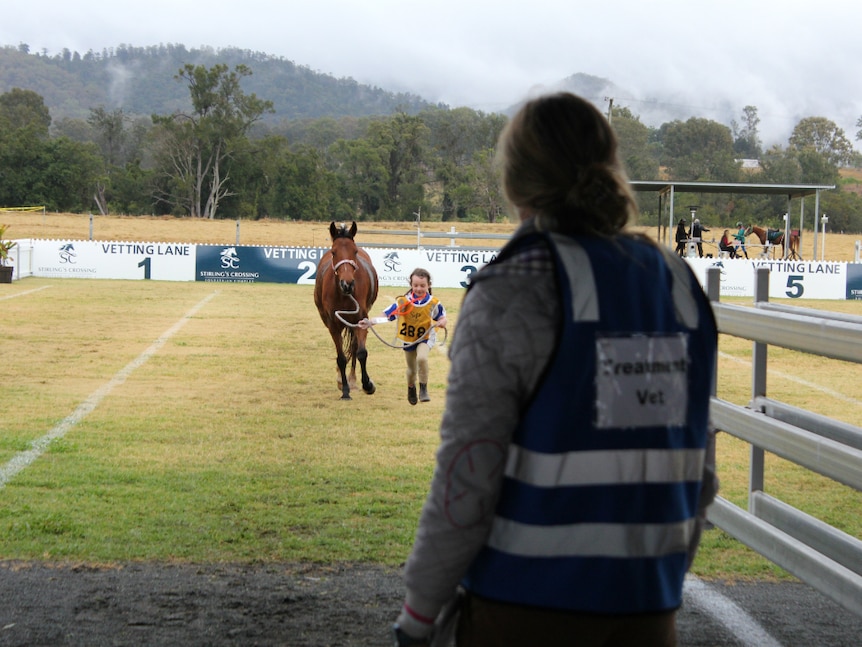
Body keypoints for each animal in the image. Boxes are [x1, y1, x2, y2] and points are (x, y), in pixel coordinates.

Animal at [312, 221, 376, 400]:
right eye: (334, 252)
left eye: (354, 251)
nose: (347, 283)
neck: (343, 293)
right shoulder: (333, 324)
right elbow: (340, 358)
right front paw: (345, 390)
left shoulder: (361, 320)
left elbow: (361, 352)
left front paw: (367, 385)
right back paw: (342, 380)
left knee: (354, 347)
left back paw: (352, 379)